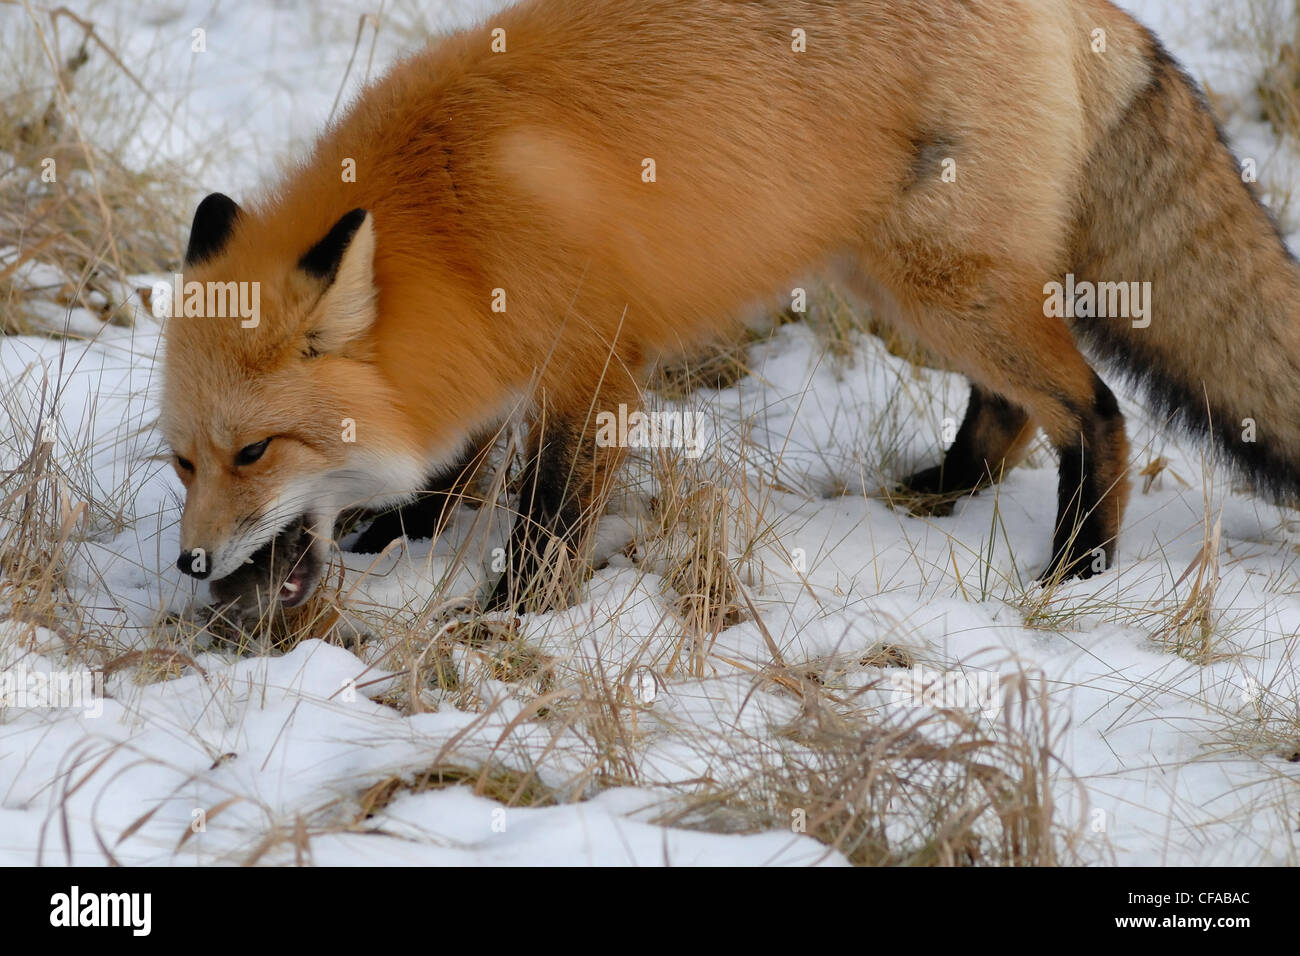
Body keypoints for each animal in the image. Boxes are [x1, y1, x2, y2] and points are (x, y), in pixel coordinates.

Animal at [162, 0, 1300, 615]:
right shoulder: (493, 349)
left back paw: (1078, 567)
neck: (456, 217)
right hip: (895, 280)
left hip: (941, 284)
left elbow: (549, 513)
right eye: (183, 464)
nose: (190, 561)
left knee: (1094, 409)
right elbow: (462, 453)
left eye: (253, 454)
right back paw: (945, 492)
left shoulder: (595, 363)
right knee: (1013, 409)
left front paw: (509, 615)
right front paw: (408, 526)